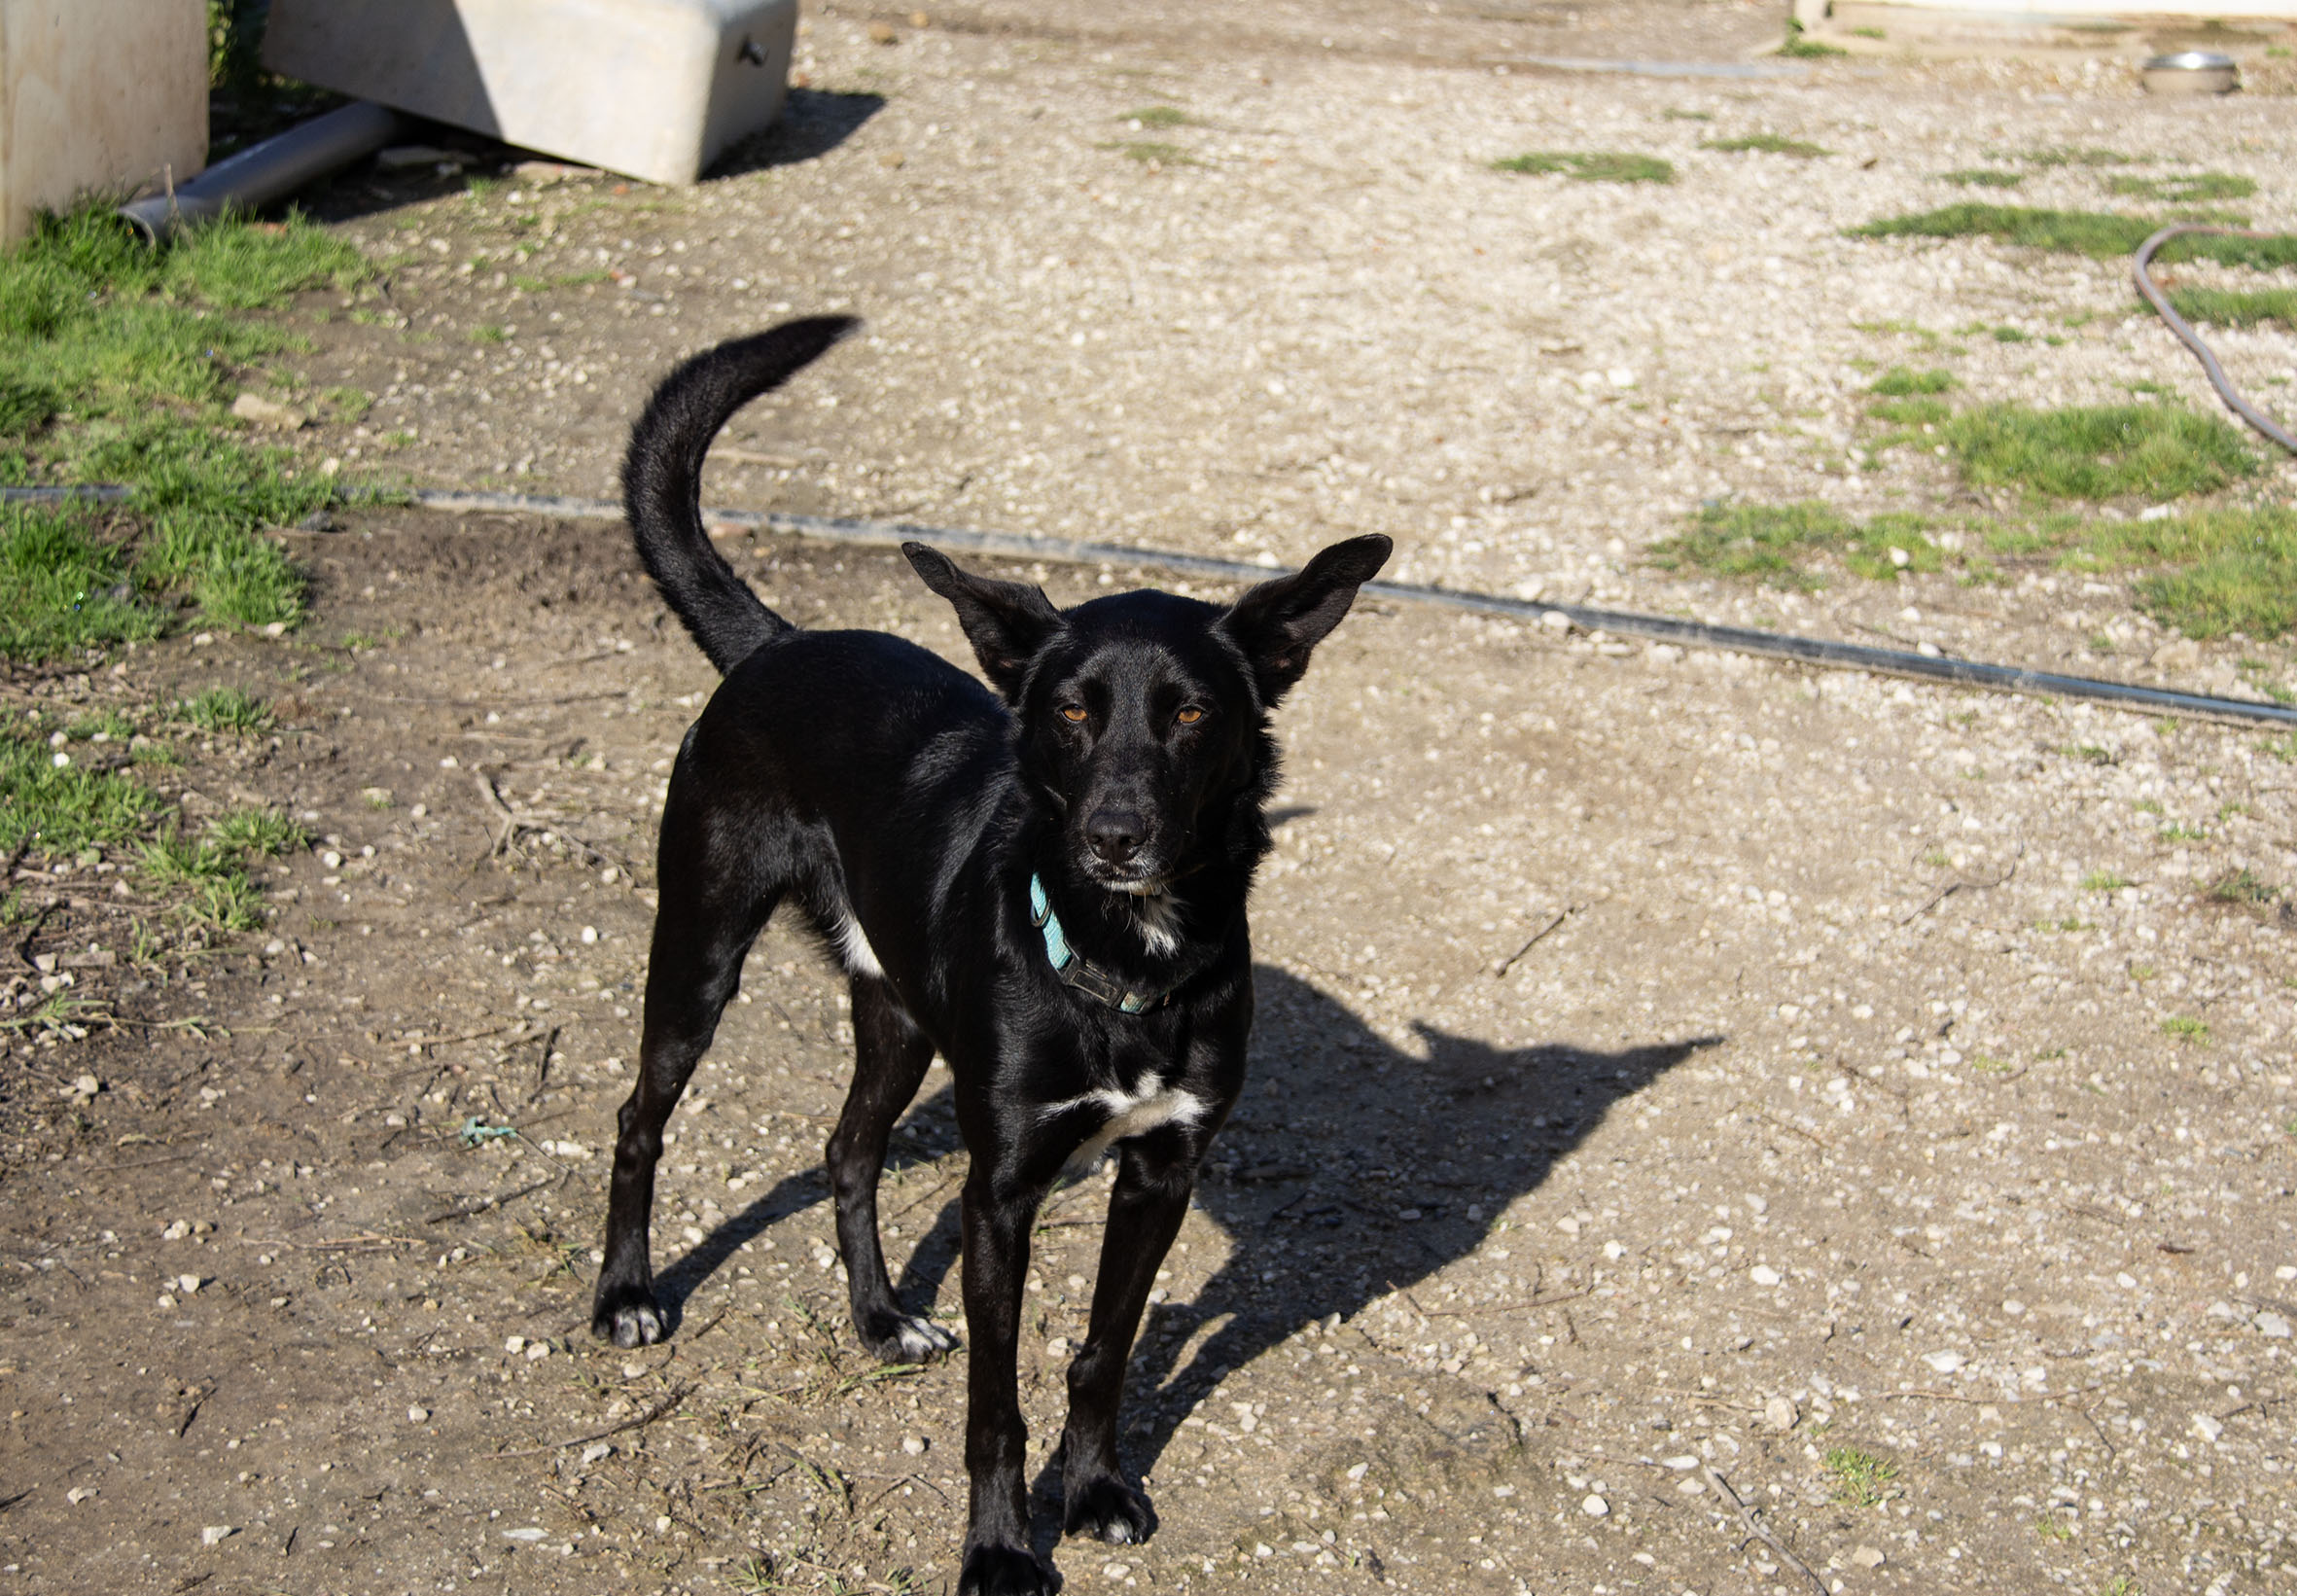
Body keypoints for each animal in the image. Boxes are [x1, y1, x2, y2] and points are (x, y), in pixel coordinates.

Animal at [591, 316, 1390, 1595]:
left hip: (899, 1014)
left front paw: (1097, 1488)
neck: (1123, 959)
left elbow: (1103, 1352)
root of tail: (778, 644)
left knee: (847, 1150)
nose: (1116, 835)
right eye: (1069, 710)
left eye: (1191, 712)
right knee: (638, 1118)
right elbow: (995, 1404)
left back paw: (879, 1319)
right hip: (700, 949)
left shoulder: (1161, 1172)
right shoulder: (999, 1193)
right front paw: (1002, 1548)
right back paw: (624, 1294)